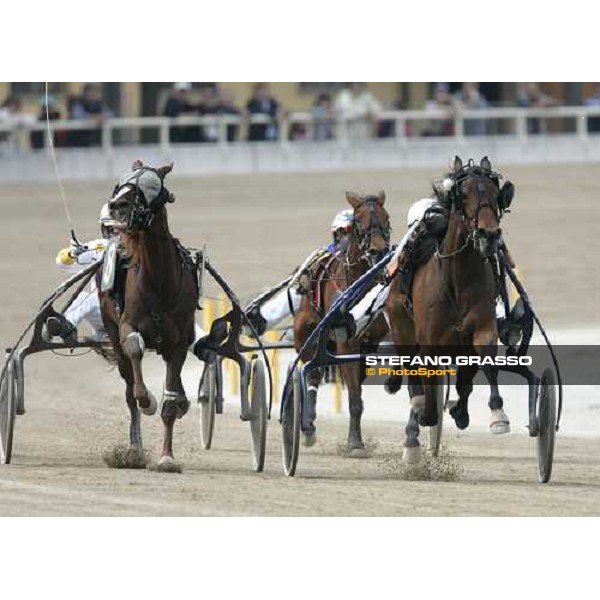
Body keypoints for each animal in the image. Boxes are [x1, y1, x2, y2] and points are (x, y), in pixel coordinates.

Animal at [98, 162, 197, 472]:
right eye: (122, 184)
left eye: (153, 186)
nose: (116, 206)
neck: (159, 281)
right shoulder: (127, 325)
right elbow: (134, 350)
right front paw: (148, 400)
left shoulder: (177, 343)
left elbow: (170, 401)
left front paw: (167, 457)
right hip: (112, 332)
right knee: (129, 387)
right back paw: (134, 449)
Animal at [292, 190, 392, 458]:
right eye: (358, 220)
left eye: (386, 217)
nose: (378, 250)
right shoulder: (346, 345)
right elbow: (354, 399)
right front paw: (355, 443)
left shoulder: (368, 345)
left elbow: (358, 392)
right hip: (304, 334)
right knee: (311, 373)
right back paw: (307, 426)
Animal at [384, 157, 510, 462]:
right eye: (462, 195)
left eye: (494, 193)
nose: (489, 234)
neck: (456, 280)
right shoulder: (429, 339)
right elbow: (426, 389)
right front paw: (424, 416)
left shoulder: (480, 328)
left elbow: (482, 363)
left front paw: (494, 413)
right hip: (401, 325)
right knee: (411, 368)